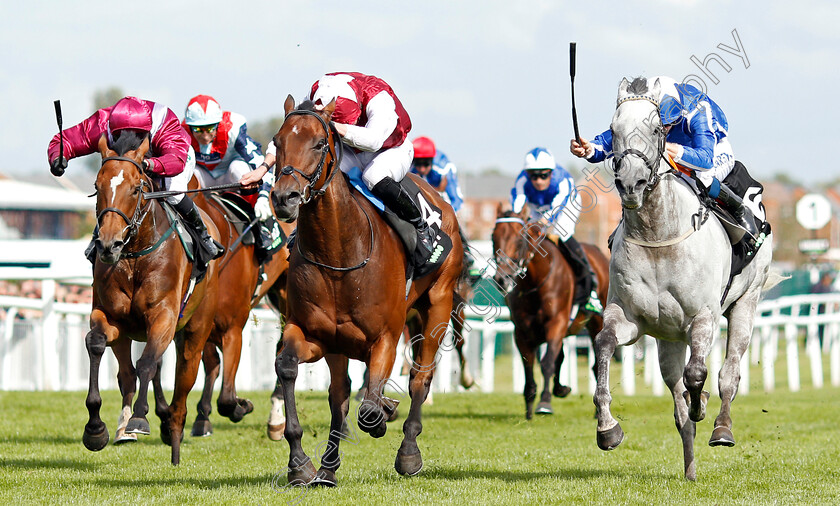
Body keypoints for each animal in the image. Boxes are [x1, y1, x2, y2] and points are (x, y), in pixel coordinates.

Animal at [84, 132, 221, 464]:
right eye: (97, 186)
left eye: (136, 188)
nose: (108, 245)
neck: (135, 255)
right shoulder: (110, 317)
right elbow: (97, 344)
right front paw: (96, 428)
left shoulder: (164, 317)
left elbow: (147, 363)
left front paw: (140, 418)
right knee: (126, 374)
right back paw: (126, 428)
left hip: (196, 330)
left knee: (183, 385)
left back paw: (175, 436)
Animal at [190, 200, 296, 436]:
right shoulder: (200, 325)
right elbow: (213, 365)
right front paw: (202, 417)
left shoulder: (232, 329)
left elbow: (227, 398)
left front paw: (241, 406)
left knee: (283, 346)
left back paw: (276, 414)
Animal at [270, 96, 462, 486]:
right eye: (277, 142)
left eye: (319, 143)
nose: (285, 197)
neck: (339, 253)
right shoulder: (313, 334)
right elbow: (288, 368)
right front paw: (300, 464)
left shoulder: (386, 337)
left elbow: (371, 408)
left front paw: (383, 415)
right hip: (339, 346)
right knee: (339, 393)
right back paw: (328, 467)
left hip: (438, 302)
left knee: (420, 378)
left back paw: (408, 453)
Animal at [488, 202, 608, 420]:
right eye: (494, 237)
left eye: (520, 238)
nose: (502, 278)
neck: (535, 282)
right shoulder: (522, 332)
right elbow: (529, 364)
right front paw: (529, 407)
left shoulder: (556, 323)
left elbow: (546, 364)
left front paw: (544, 403)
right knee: (560, 357)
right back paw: (560, 389)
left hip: (597, 323)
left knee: (596, 365)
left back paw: (598, 411)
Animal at [592, 77, 780, 480]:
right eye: (612, 130)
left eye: (655, 129)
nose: (630, 182)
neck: (657, 235)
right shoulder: (630, 319)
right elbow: (604, 345)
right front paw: (607, 428)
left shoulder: (703, 317)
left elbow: (699, 374)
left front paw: (703, 404)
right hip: (668, 339)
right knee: (679, 407)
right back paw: (691, 470)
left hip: (747, 303)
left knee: (728, 373)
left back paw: (721, 427)